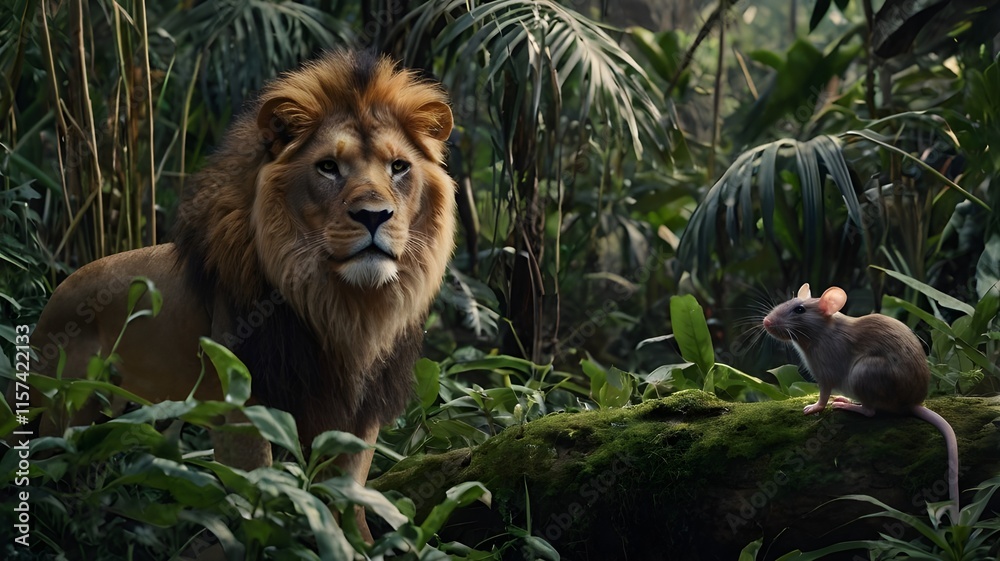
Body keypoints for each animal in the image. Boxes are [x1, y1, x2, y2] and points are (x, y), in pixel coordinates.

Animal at [18, 50, 456, 540]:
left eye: (399, 167)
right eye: (328, 167)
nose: (374, 215)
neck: (343, 305)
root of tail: (57, 291)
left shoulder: (361, 410)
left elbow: (349, 495)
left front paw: (358, 542)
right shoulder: (242, 397)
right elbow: (257, 492)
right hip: (64, 403)